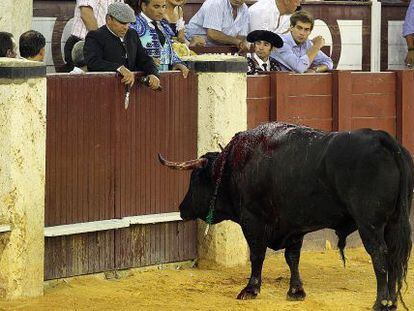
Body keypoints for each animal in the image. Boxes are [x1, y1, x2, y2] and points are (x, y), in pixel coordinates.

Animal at [159, 122, 414, 311]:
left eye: (195, 178)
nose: (182, 208)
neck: (234, 165)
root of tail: (382, 138)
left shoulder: (253, 220)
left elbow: (257, 255)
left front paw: (250, 290)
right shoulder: (295, 226)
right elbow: (293, 258)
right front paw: (296, 291)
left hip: (369, 224)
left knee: (379, 255)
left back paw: (381, 302)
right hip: (394, 222)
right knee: (393, 256)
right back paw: (392, 302)